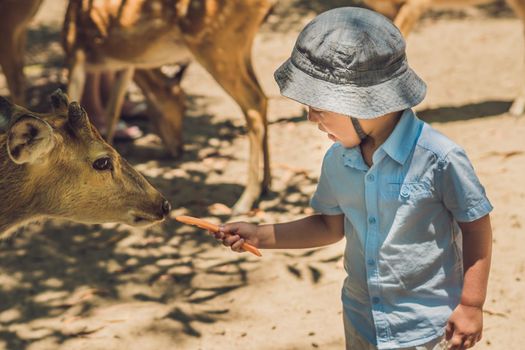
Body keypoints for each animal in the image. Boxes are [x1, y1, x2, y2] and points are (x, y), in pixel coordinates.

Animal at [62, 0, 274, 213]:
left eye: (184, 107)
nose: (179, 149)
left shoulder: (75, 56)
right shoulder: (126, 64)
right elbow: (112, 114)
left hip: (215, 44)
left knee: (254, 103)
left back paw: (244, 201)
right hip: (242, 46)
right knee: (264, 97)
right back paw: (265, 185)